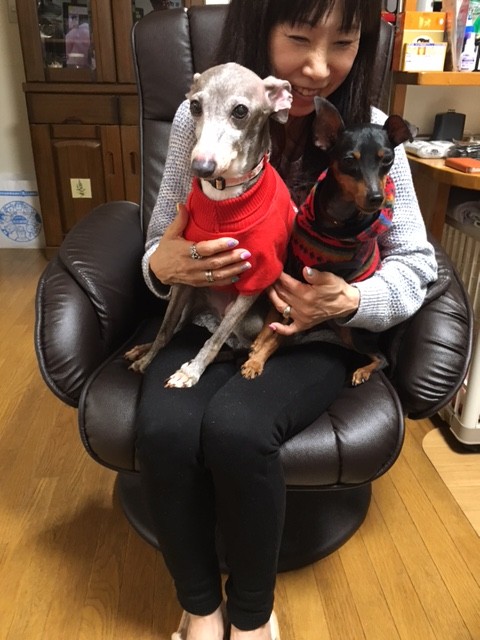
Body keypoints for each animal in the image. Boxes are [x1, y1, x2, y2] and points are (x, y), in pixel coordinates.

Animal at [125, 62, 296, 387]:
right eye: (194, 105)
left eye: (240, 110)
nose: (201, 167)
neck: (222, 196)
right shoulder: (183, 275)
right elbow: (165, 328)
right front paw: (149, 357)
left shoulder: (256, 280)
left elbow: (215, 340)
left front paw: (191, 371)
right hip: (194, 294)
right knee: (179, 326)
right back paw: (141, 349)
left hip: (247, 321)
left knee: (234, 344)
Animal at [241, 96, 417, 385]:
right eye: (348, 160)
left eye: (388, 159)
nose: (376, 198)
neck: (334, 221)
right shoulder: (291, 268)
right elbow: (273, 316)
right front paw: (260, 342)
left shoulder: (306, 293)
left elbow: (281, 332)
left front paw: (257, 360)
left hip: (353, 331)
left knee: (382, 358)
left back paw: (362, 372)